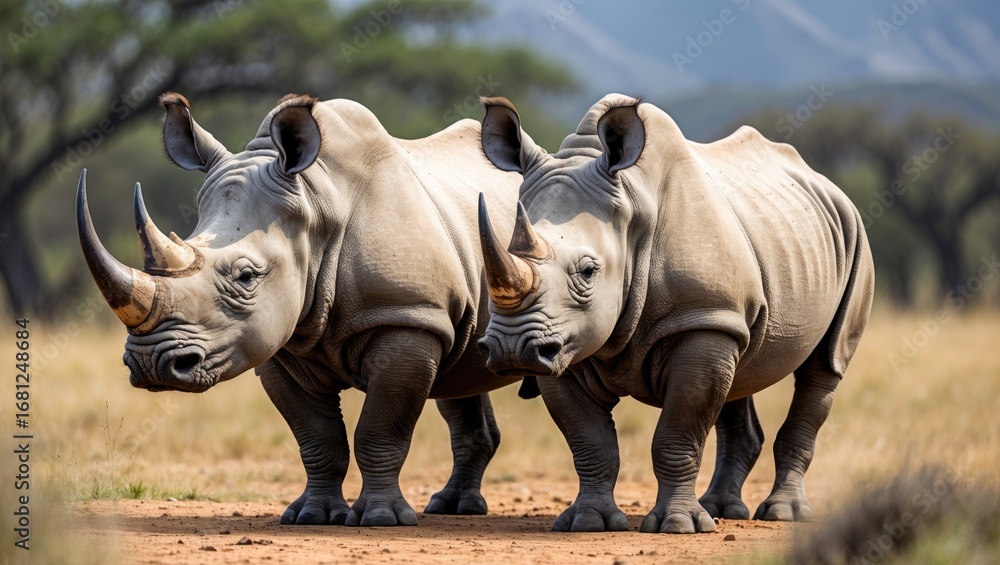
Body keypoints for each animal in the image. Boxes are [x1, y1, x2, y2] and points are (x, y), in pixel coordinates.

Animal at [76, 93, 527, 526]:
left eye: (246, 277)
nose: (150, 363)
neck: (317, 204)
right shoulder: (278, 339)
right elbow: (317, 438)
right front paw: (313, 515)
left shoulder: (407, 316)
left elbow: (380, 429)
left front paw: (380, 519)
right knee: (459, 376)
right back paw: (452, 507)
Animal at [475, 95, 874, 534]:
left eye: (588, 271)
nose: (512, 349)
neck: (630, 209)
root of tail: (824, 183)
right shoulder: (566, 342)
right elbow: (589, 441)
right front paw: (588, 521)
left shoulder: (699, 318)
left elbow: (678, 432)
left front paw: (678, 524)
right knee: (740, 369)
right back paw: (723, 509)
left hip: (853, 233)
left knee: (824, 366)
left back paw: (782, 514)